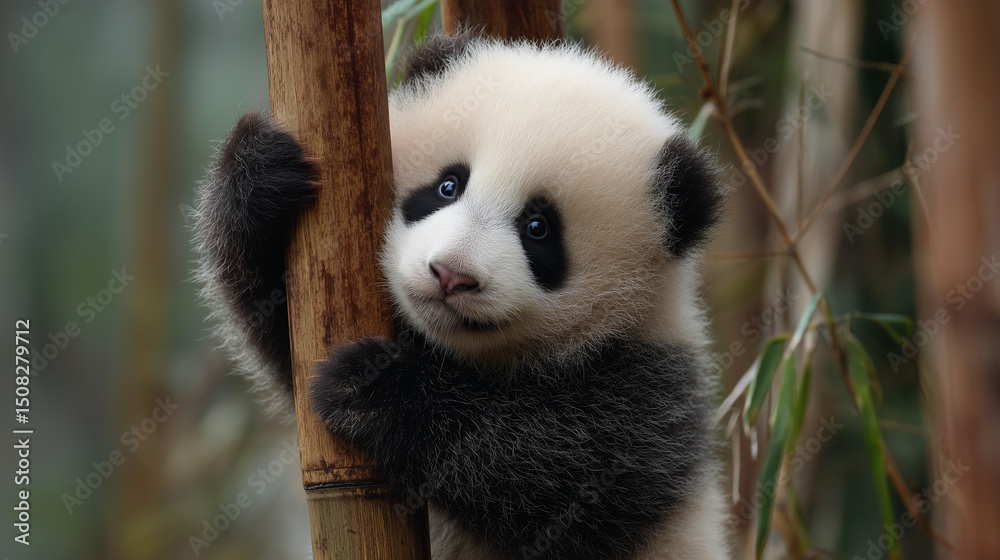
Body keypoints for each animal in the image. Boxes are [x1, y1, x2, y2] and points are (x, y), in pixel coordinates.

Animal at [195, 32, 729, 560]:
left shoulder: (649, 393)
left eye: (538, 229)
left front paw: (377, 386)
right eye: (448, 185)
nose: (450, 275)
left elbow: (554, 471)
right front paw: (262, 176)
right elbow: (281, 335)